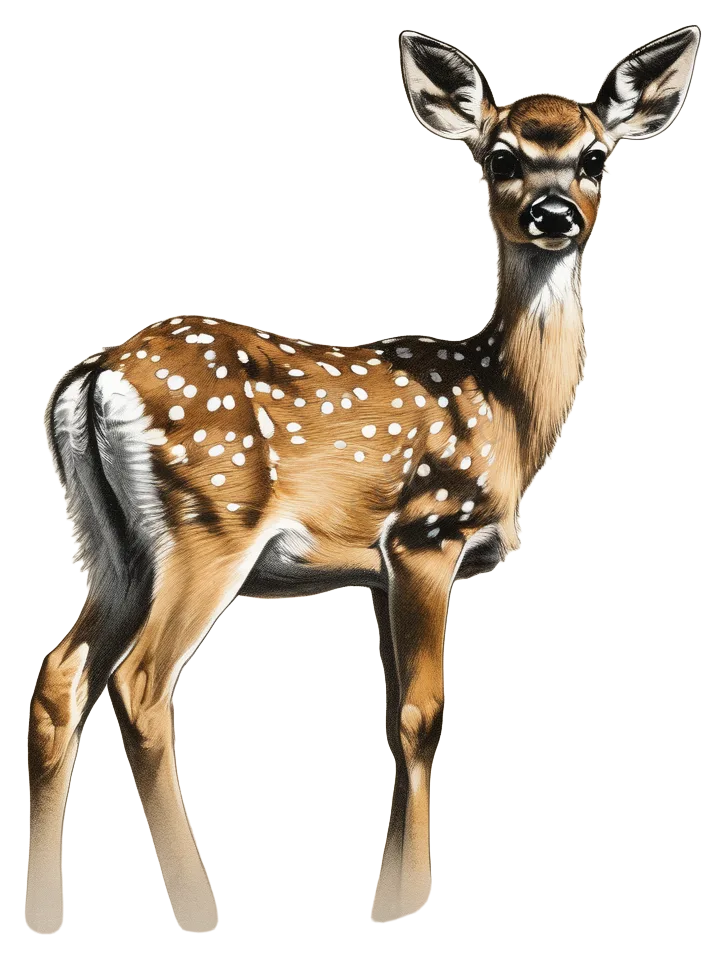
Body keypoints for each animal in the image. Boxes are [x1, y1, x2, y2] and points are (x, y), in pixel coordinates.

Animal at [26, 24, 701, 927]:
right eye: (501, 156)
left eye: (594, 156)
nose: (554, 214)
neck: (507, 407)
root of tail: (94, 375)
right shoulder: (428, 531)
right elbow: (423, 716)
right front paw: (415, 907)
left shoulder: (378, 572)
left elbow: (390, 715)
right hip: (208, 524)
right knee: (140, 684)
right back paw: (202, 912)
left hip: (115, 548)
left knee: (60, 677)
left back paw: (43, 907)